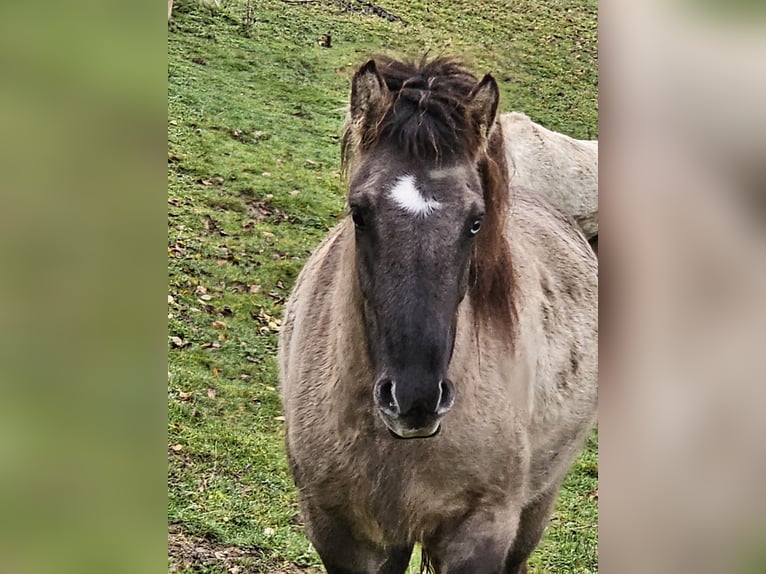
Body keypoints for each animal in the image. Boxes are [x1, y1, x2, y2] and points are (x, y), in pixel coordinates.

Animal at [278, 55, 600, 574]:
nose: (416, 398)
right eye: (358, 212)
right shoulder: (340, 532)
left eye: (475, 221)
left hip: (538, 502)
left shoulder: (480, 532)